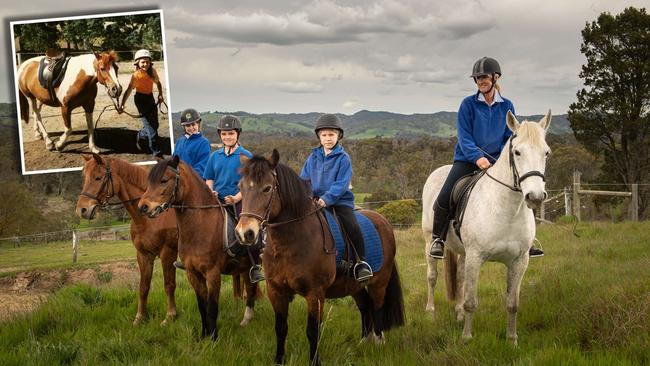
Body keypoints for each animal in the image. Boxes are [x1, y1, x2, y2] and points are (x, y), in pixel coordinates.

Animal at [75, 153, 177, 324]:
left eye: (98, 177)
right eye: (85, 177)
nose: (82, 210)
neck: (150, 218)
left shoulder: (167, 253)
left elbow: (169, 285)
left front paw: (170, 316)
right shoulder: (143, 255)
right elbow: (143, 287)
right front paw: (140, 318)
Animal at [137, 155, 260, 340]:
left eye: (164, 180)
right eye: (149, 182)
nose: (142, 207)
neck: (200, 226)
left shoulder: (213, 273)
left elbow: (212, 307)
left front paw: (214, 338)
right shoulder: (192, 272)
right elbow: (202, 306)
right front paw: (204, 336)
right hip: (244, 266)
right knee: (250, 287)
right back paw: (247, 319)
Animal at [235, 149, 402, 366]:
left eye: (267, 188)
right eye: (241, 187)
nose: (244, 233)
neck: (290, 244)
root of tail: (384, 221)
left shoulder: (315, 293)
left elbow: (313, 331)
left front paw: (315, 362)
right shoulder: (276, 290)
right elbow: (280, 328)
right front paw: (279, 360)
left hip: (379, 283)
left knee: (378, 308)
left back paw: (379, 343)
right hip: (354, 285)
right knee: (365, 306)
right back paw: (363, 343)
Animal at [420, 110, 552, 344]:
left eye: (546, 153)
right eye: (517, 152)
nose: (535, 197)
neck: (507, 211)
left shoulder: (519, 262)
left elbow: (512, 304)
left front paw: (512, 340)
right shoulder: (476, 257)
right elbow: (471, 301)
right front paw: (466, 338)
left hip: (463, 251)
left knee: (460, 277)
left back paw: (458, 313)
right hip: (430, 242)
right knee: (432, 276)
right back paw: (430, 312)